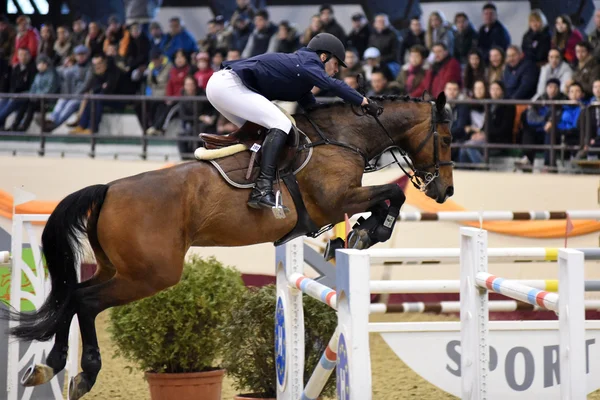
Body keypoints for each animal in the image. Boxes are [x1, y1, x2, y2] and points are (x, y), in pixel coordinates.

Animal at [3, 92, 454, 398]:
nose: (445, 191)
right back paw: (81, 372)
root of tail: (108, 189)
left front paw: (359, 233)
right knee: (85, 300)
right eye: (447, 139)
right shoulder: (336, 200)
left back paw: (48, 367)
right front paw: (367, 232)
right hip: (151, 274)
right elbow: (390, 196)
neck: (343, 138)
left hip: (121, 268)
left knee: (73, 296)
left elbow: (386, 199)